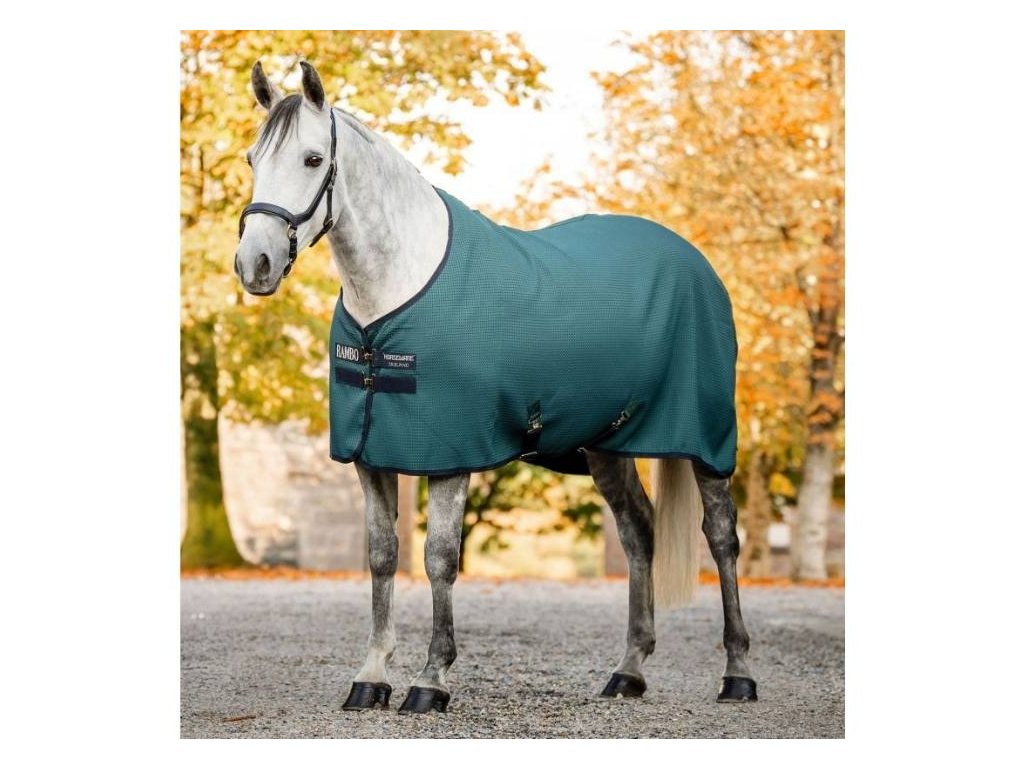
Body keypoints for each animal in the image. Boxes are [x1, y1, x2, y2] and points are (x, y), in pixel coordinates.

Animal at [234, 60, 757, 715]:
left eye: (311, 159)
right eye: (253, 158)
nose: (255, 263)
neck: (395, 292)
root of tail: (695, 260)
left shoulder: (449, 453)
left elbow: (439, 559)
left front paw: (431, 680)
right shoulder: (371, 453)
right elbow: (381, 557)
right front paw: (372, 677)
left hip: (707, 440)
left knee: (722, 538)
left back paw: (738, 673)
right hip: (607, 445)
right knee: (639, 532)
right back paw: (628, 671)